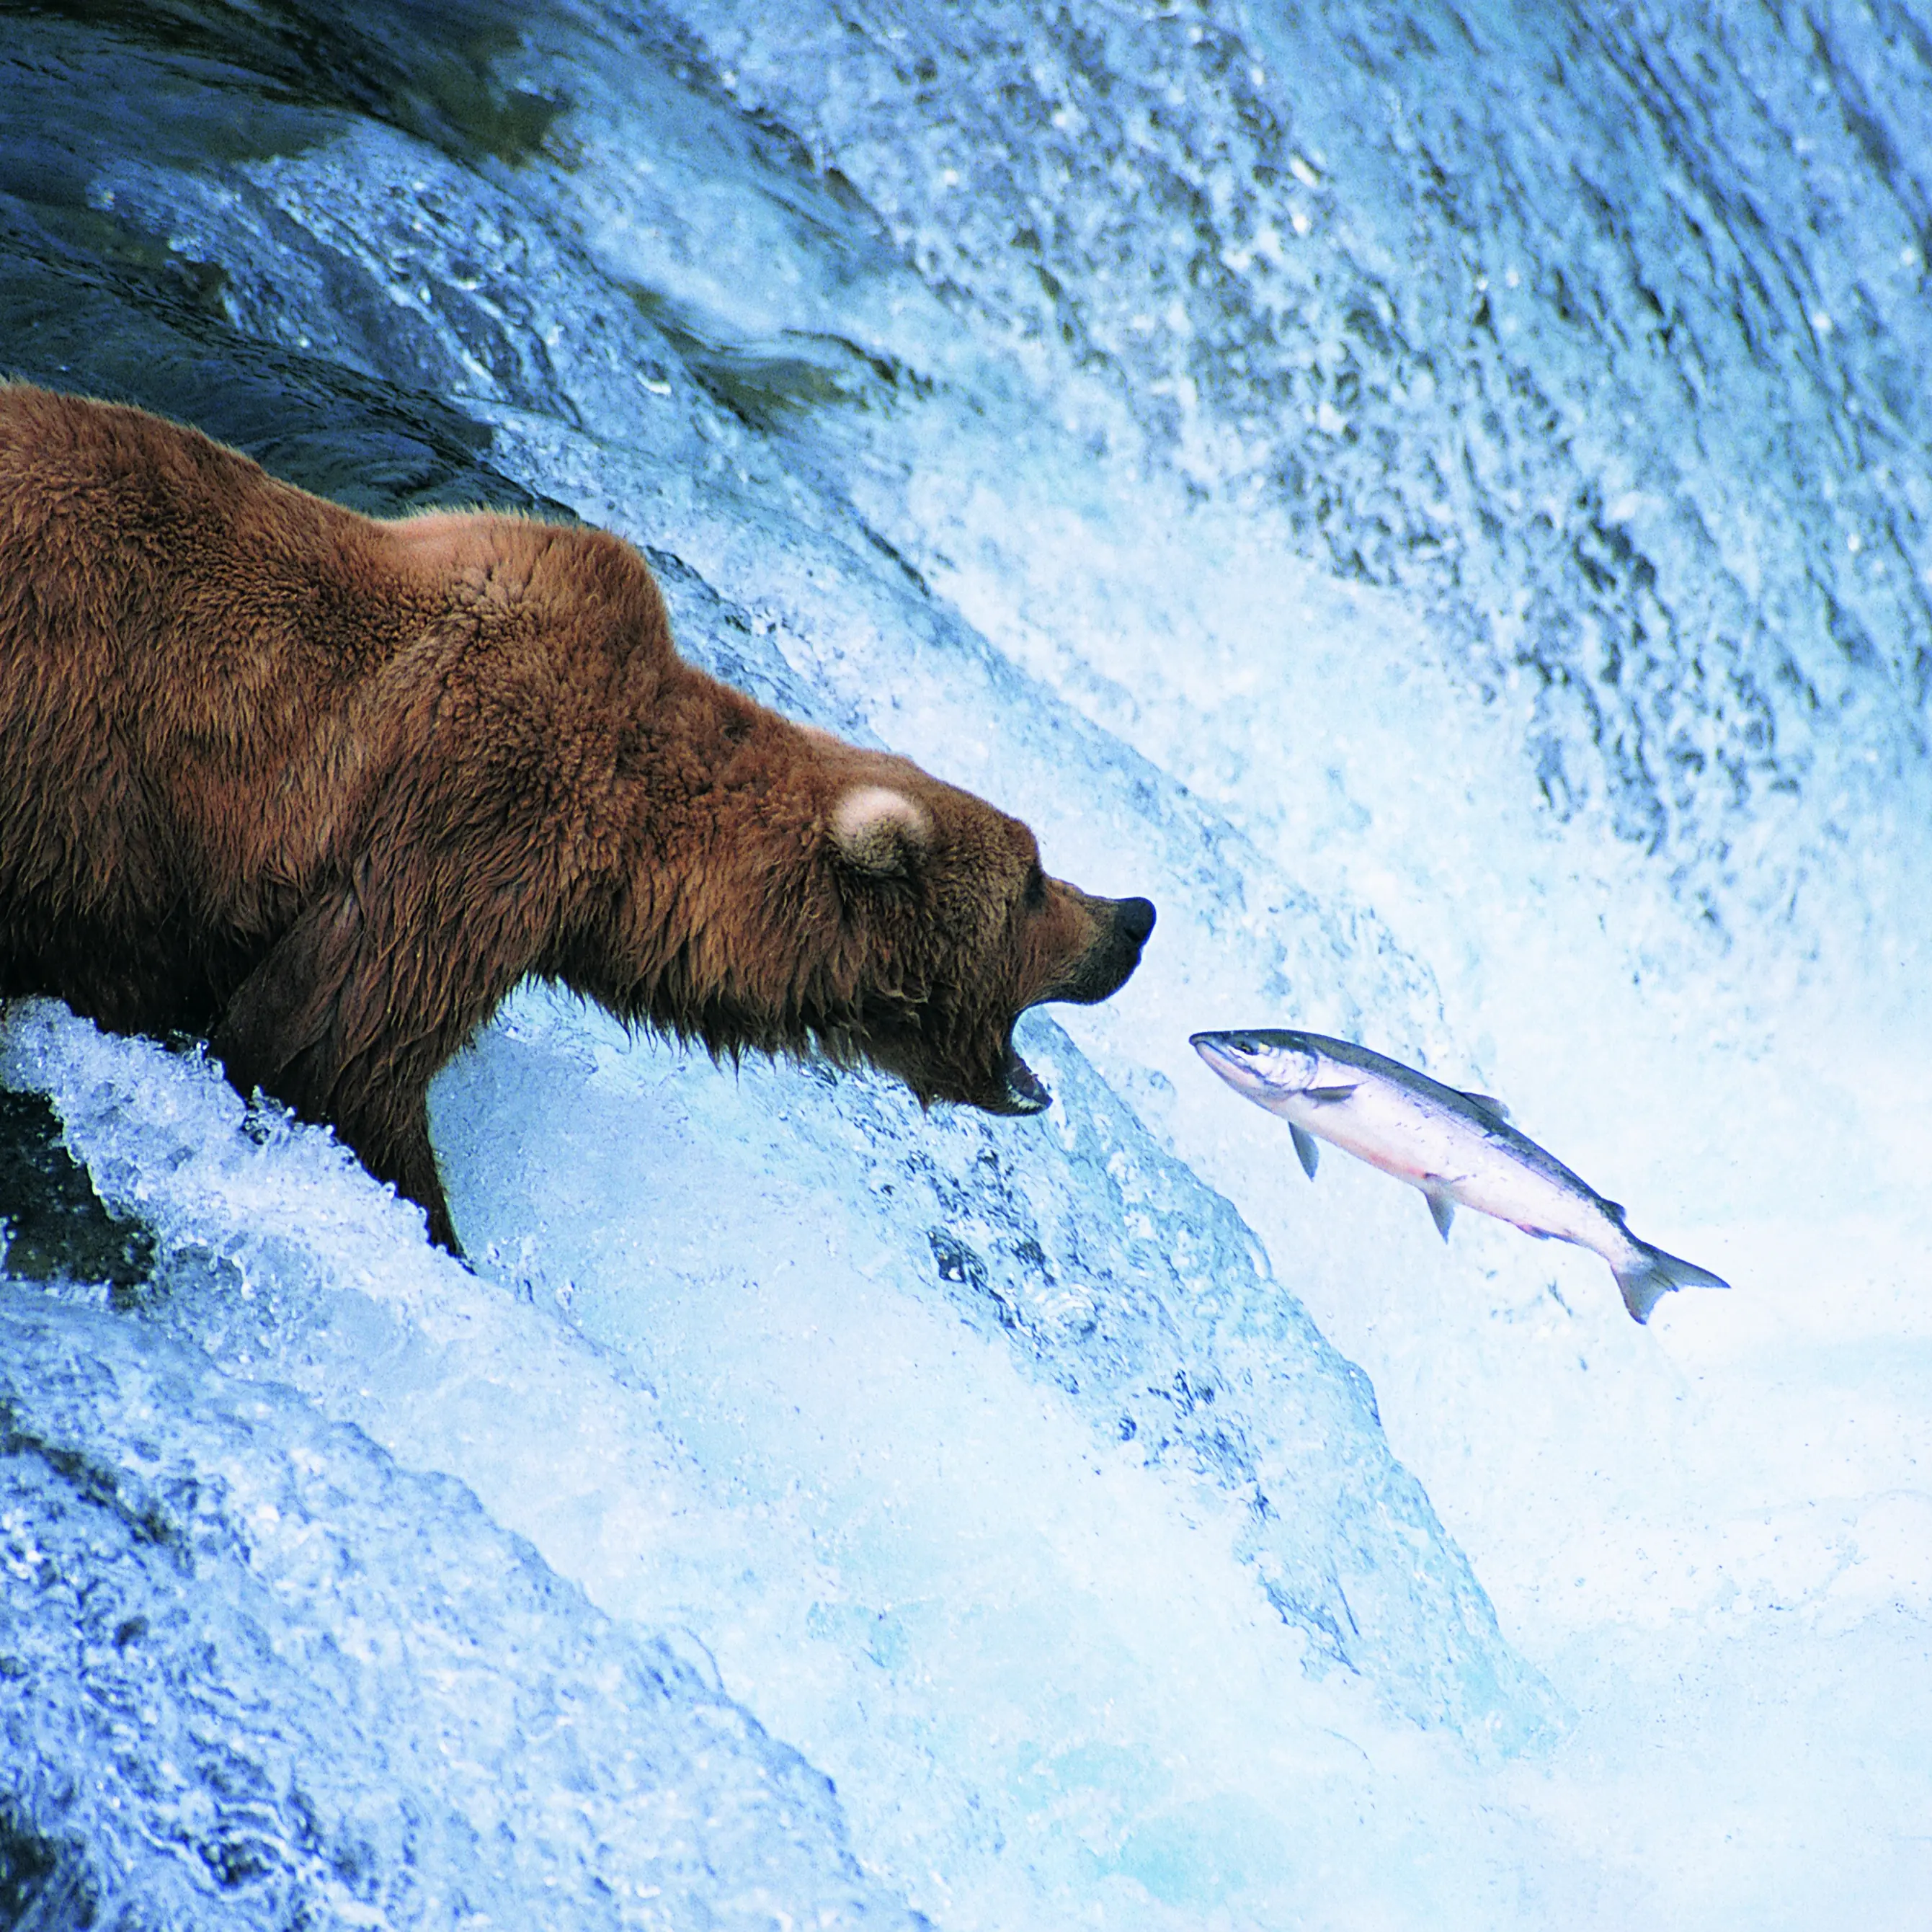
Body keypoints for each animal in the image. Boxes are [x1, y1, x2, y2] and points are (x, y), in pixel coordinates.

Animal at [0, 384, 1155, 1253]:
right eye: (1033, 880)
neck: (627, 856)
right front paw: (441, 1234)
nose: (1134, 917)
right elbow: (331, 1048)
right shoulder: (474, 816)